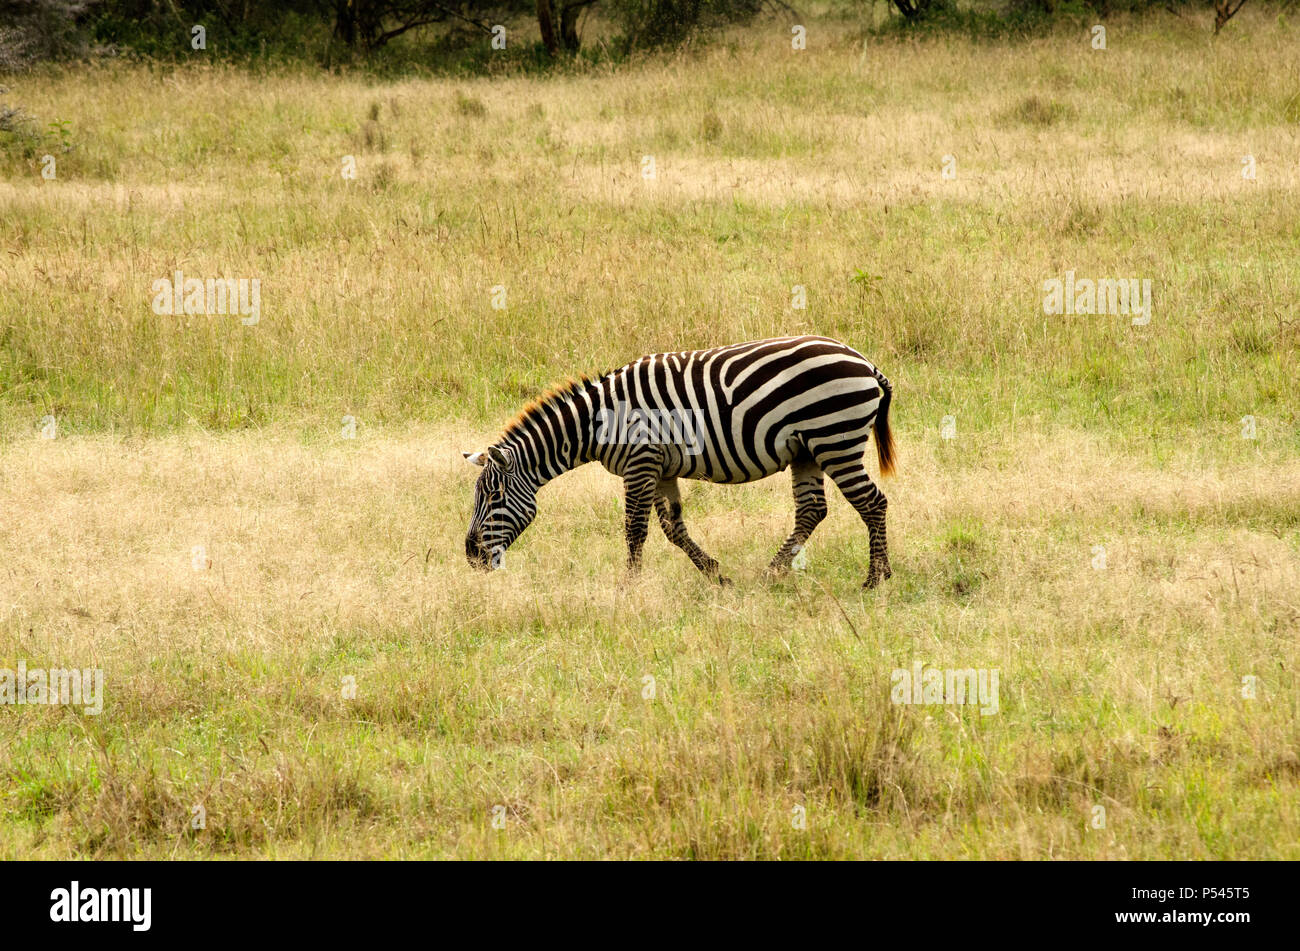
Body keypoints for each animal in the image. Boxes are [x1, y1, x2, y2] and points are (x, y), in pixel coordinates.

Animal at [463, 335, 896, 587]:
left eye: (494, 497)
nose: (471, 556)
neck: (598, 422)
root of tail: (864, 361)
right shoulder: (660, 468)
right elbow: (673, 528)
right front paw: (715, 574)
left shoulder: (639, 462)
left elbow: (634, 529)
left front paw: (629, 585)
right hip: (807, 450)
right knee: (812, 510)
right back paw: (771, 572)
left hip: (834, 438)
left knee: (872, 502)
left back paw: (875, 579)